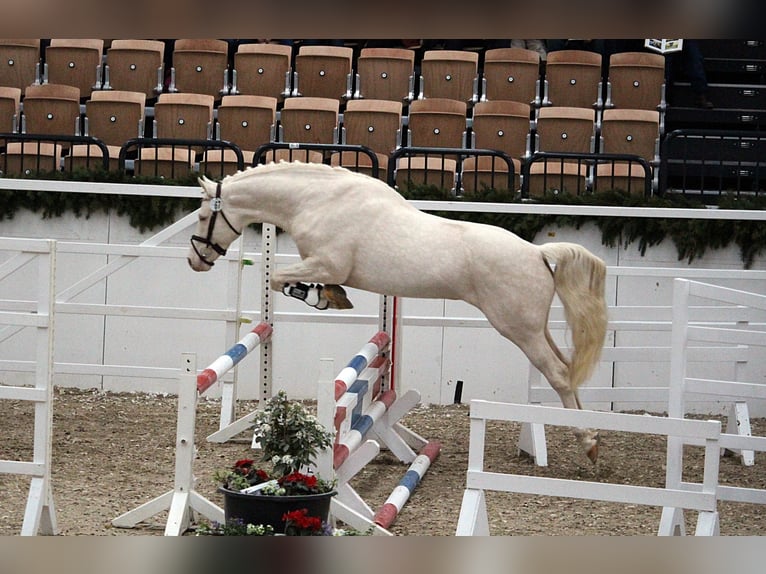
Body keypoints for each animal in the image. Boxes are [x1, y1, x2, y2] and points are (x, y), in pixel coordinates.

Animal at [187, 161, 608, 463]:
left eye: (203, 217)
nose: (196, 261)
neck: (317, 201)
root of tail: (538, 253)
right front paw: (331, 296)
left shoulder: (325, 264)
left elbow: (280, 280)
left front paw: (321, 298)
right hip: (537, 329)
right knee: (566, 369)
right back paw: (587, 432)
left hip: (519, 329)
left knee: (558, 374)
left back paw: (587, 442)